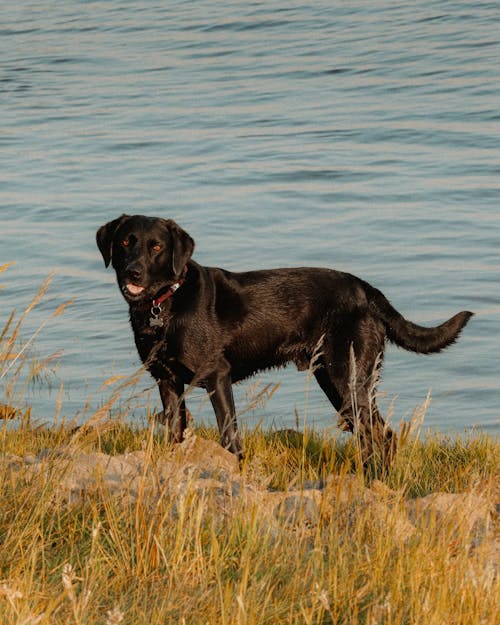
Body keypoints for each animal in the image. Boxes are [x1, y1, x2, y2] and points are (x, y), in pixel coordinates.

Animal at [95, 217, 470, 466]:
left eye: (156, 246)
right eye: (125, 243)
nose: (132, 272)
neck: (165, 303)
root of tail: (365, 289)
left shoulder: (217, 376)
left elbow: (228, 433)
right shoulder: (167, 382)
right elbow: (175, 431)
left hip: (347, 379)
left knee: (380, 435)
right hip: (335, 382)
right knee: (374, 435)